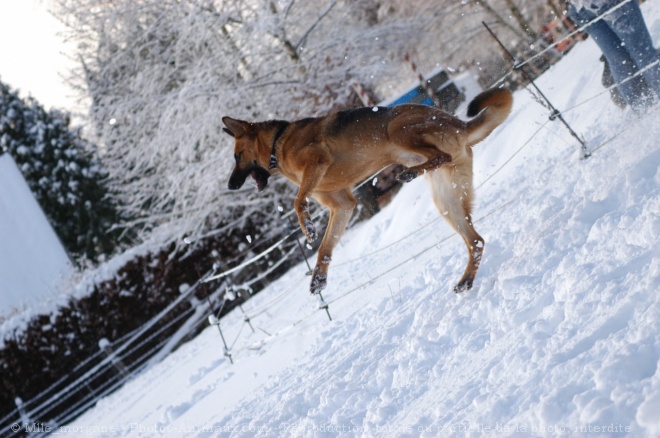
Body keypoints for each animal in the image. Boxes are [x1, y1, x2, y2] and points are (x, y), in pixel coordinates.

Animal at [224, 87, 512, 294]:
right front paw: (319, 276)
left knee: (439, 156)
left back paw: (410, 172)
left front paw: (307, 226)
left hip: (397, 128)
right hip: (447, 202)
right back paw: (466, 280)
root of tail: (460, 126)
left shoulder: (317, 162)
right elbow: (325, 248)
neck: (277, 144)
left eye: (237, 156)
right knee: (476, 241)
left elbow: (297, 202)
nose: (230, 185)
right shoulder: (343, 205)